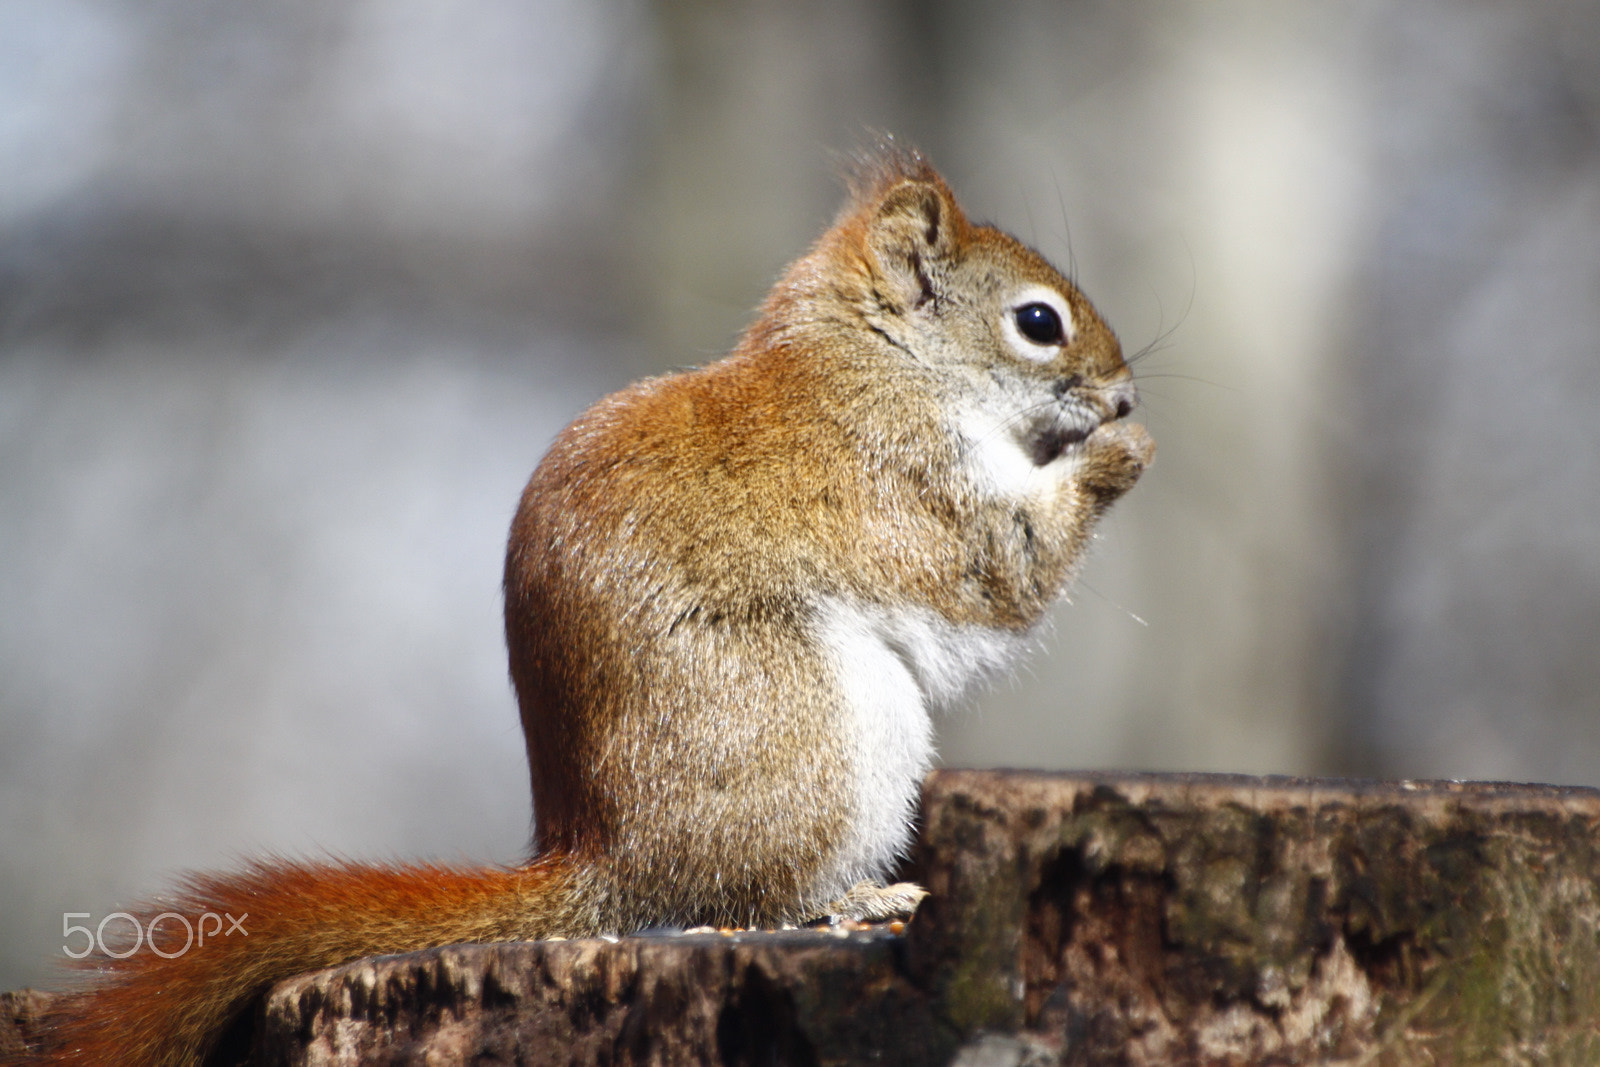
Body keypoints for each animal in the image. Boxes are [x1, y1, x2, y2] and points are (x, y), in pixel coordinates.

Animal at [25, 146, 1152, 1062]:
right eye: (1038, 322)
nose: (1125, 395)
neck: (880, 360)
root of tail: (608, 863)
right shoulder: (904, 479)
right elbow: (1006, 569)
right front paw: (1118, 455)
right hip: (822, 732)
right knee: (746, 895)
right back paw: (868, 894)